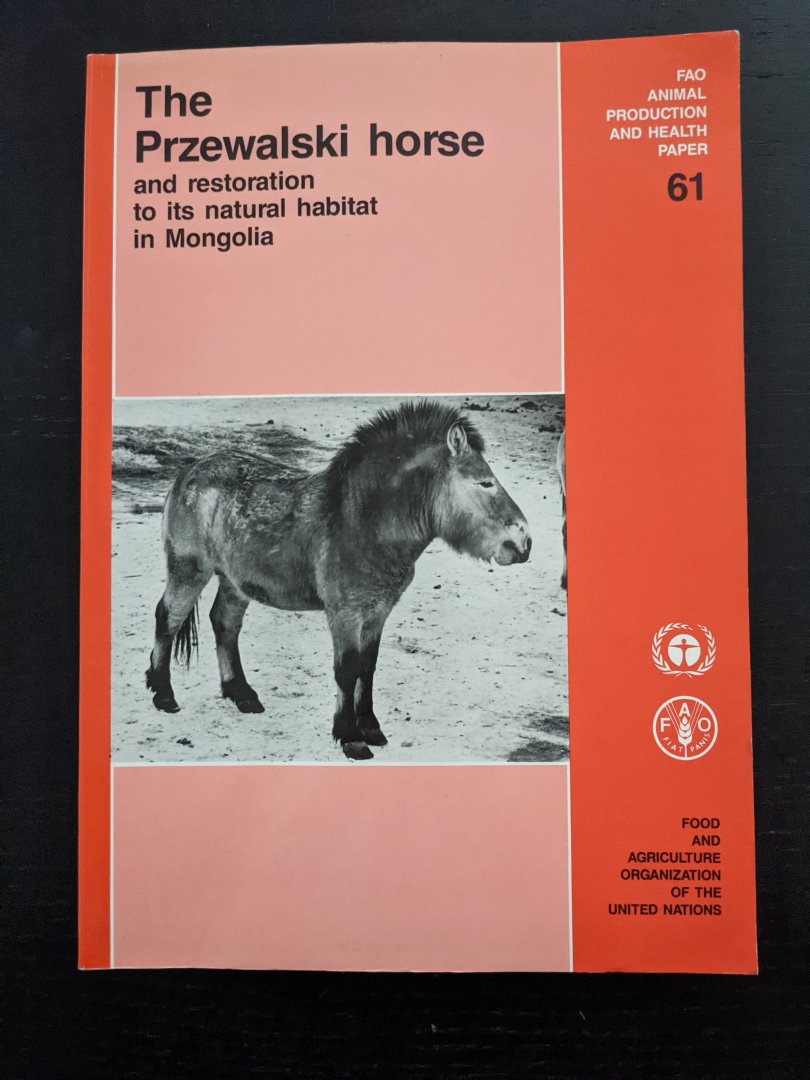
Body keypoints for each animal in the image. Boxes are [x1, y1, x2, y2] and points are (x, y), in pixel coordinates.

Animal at [145, 400, 533, 760]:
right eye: (485, 483)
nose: (525, 542)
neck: (363, 522)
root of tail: (189, 471)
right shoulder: (345, 614)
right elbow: (347, 670)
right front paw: (350, 737)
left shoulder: (377, 613)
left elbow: (368, 667)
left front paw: (371, 727)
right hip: (189, 569)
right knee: (169, 617)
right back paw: (163, 694)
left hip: (234, 580)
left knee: (224, 624)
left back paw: (241, 694)